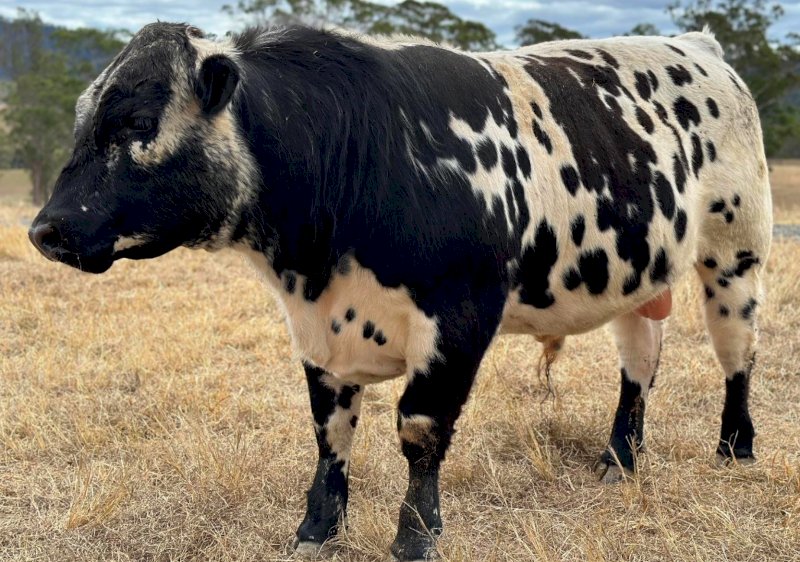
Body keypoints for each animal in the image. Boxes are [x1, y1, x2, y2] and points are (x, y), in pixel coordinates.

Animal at [28, 22, 772, 560]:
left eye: (136, 124)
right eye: (84, 121)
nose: (46, 229)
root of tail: (697, 42)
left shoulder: (460, 315)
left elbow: (419, 429)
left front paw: (416, 536)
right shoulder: (319, 330)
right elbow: (330, 432)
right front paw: (316, 532)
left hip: (736, 250)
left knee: (737, 353)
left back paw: (735, 446)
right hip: (642, 273)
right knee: (640, 360)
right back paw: (619, 459)